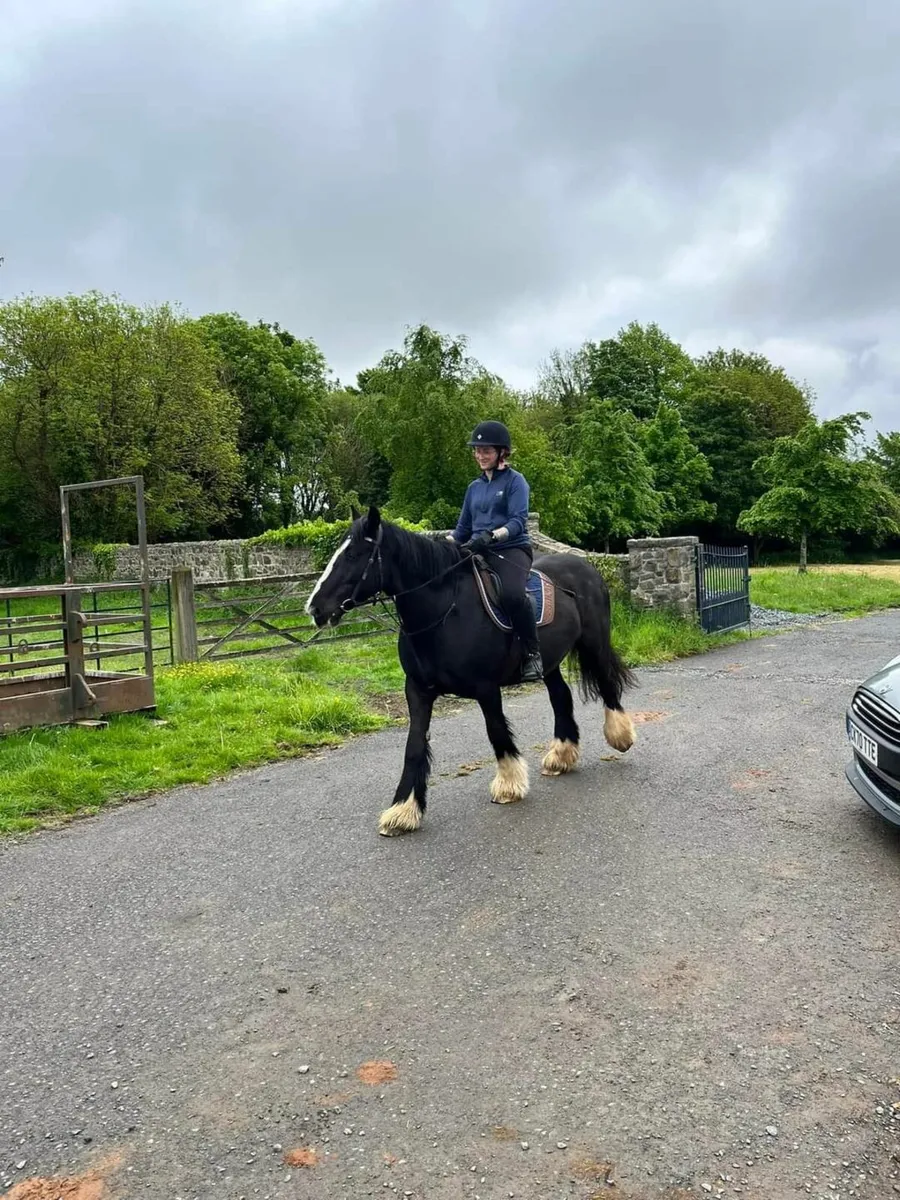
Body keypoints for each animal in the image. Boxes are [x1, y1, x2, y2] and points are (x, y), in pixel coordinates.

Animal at [306, 506, 637, 835]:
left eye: (353, 555)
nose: (315, 609)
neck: (445, 611)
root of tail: (586, 567)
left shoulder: (486, 688)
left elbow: (497, 731)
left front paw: (509, 785)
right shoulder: (417, 690)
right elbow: (414, 746)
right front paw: (403, 810)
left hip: (594, 643)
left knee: (606, 684)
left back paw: (620, 737)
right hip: (550, 661)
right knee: (561, 696)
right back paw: (561, 756)